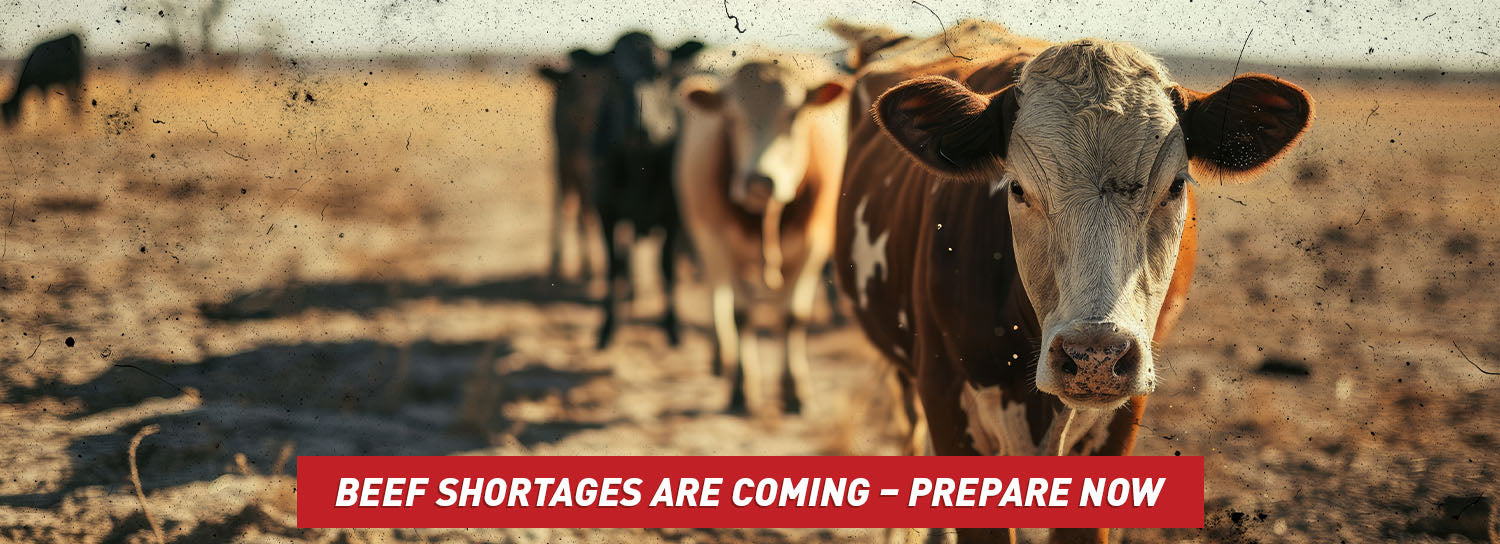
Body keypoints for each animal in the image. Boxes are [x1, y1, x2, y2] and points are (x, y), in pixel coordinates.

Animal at [585, 32, 702, 349]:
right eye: (613, 75)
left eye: (659, 72)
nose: (639, 128)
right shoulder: (606, 213)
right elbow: (614, 266)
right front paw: (608, 328)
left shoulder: (674, 217)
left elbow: (667, 266)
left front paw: (673, 328)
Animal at [675, 56, 852, 413]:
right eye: (730, 117)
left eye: (794, 113)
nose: (759, 181)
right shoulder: (720, 242)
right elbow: (740, 315)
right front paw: (742, 388)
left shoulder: (813, 246)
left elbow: (793, 317)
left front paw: (795, 389)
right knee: (718, 292)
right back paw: (722, 358)